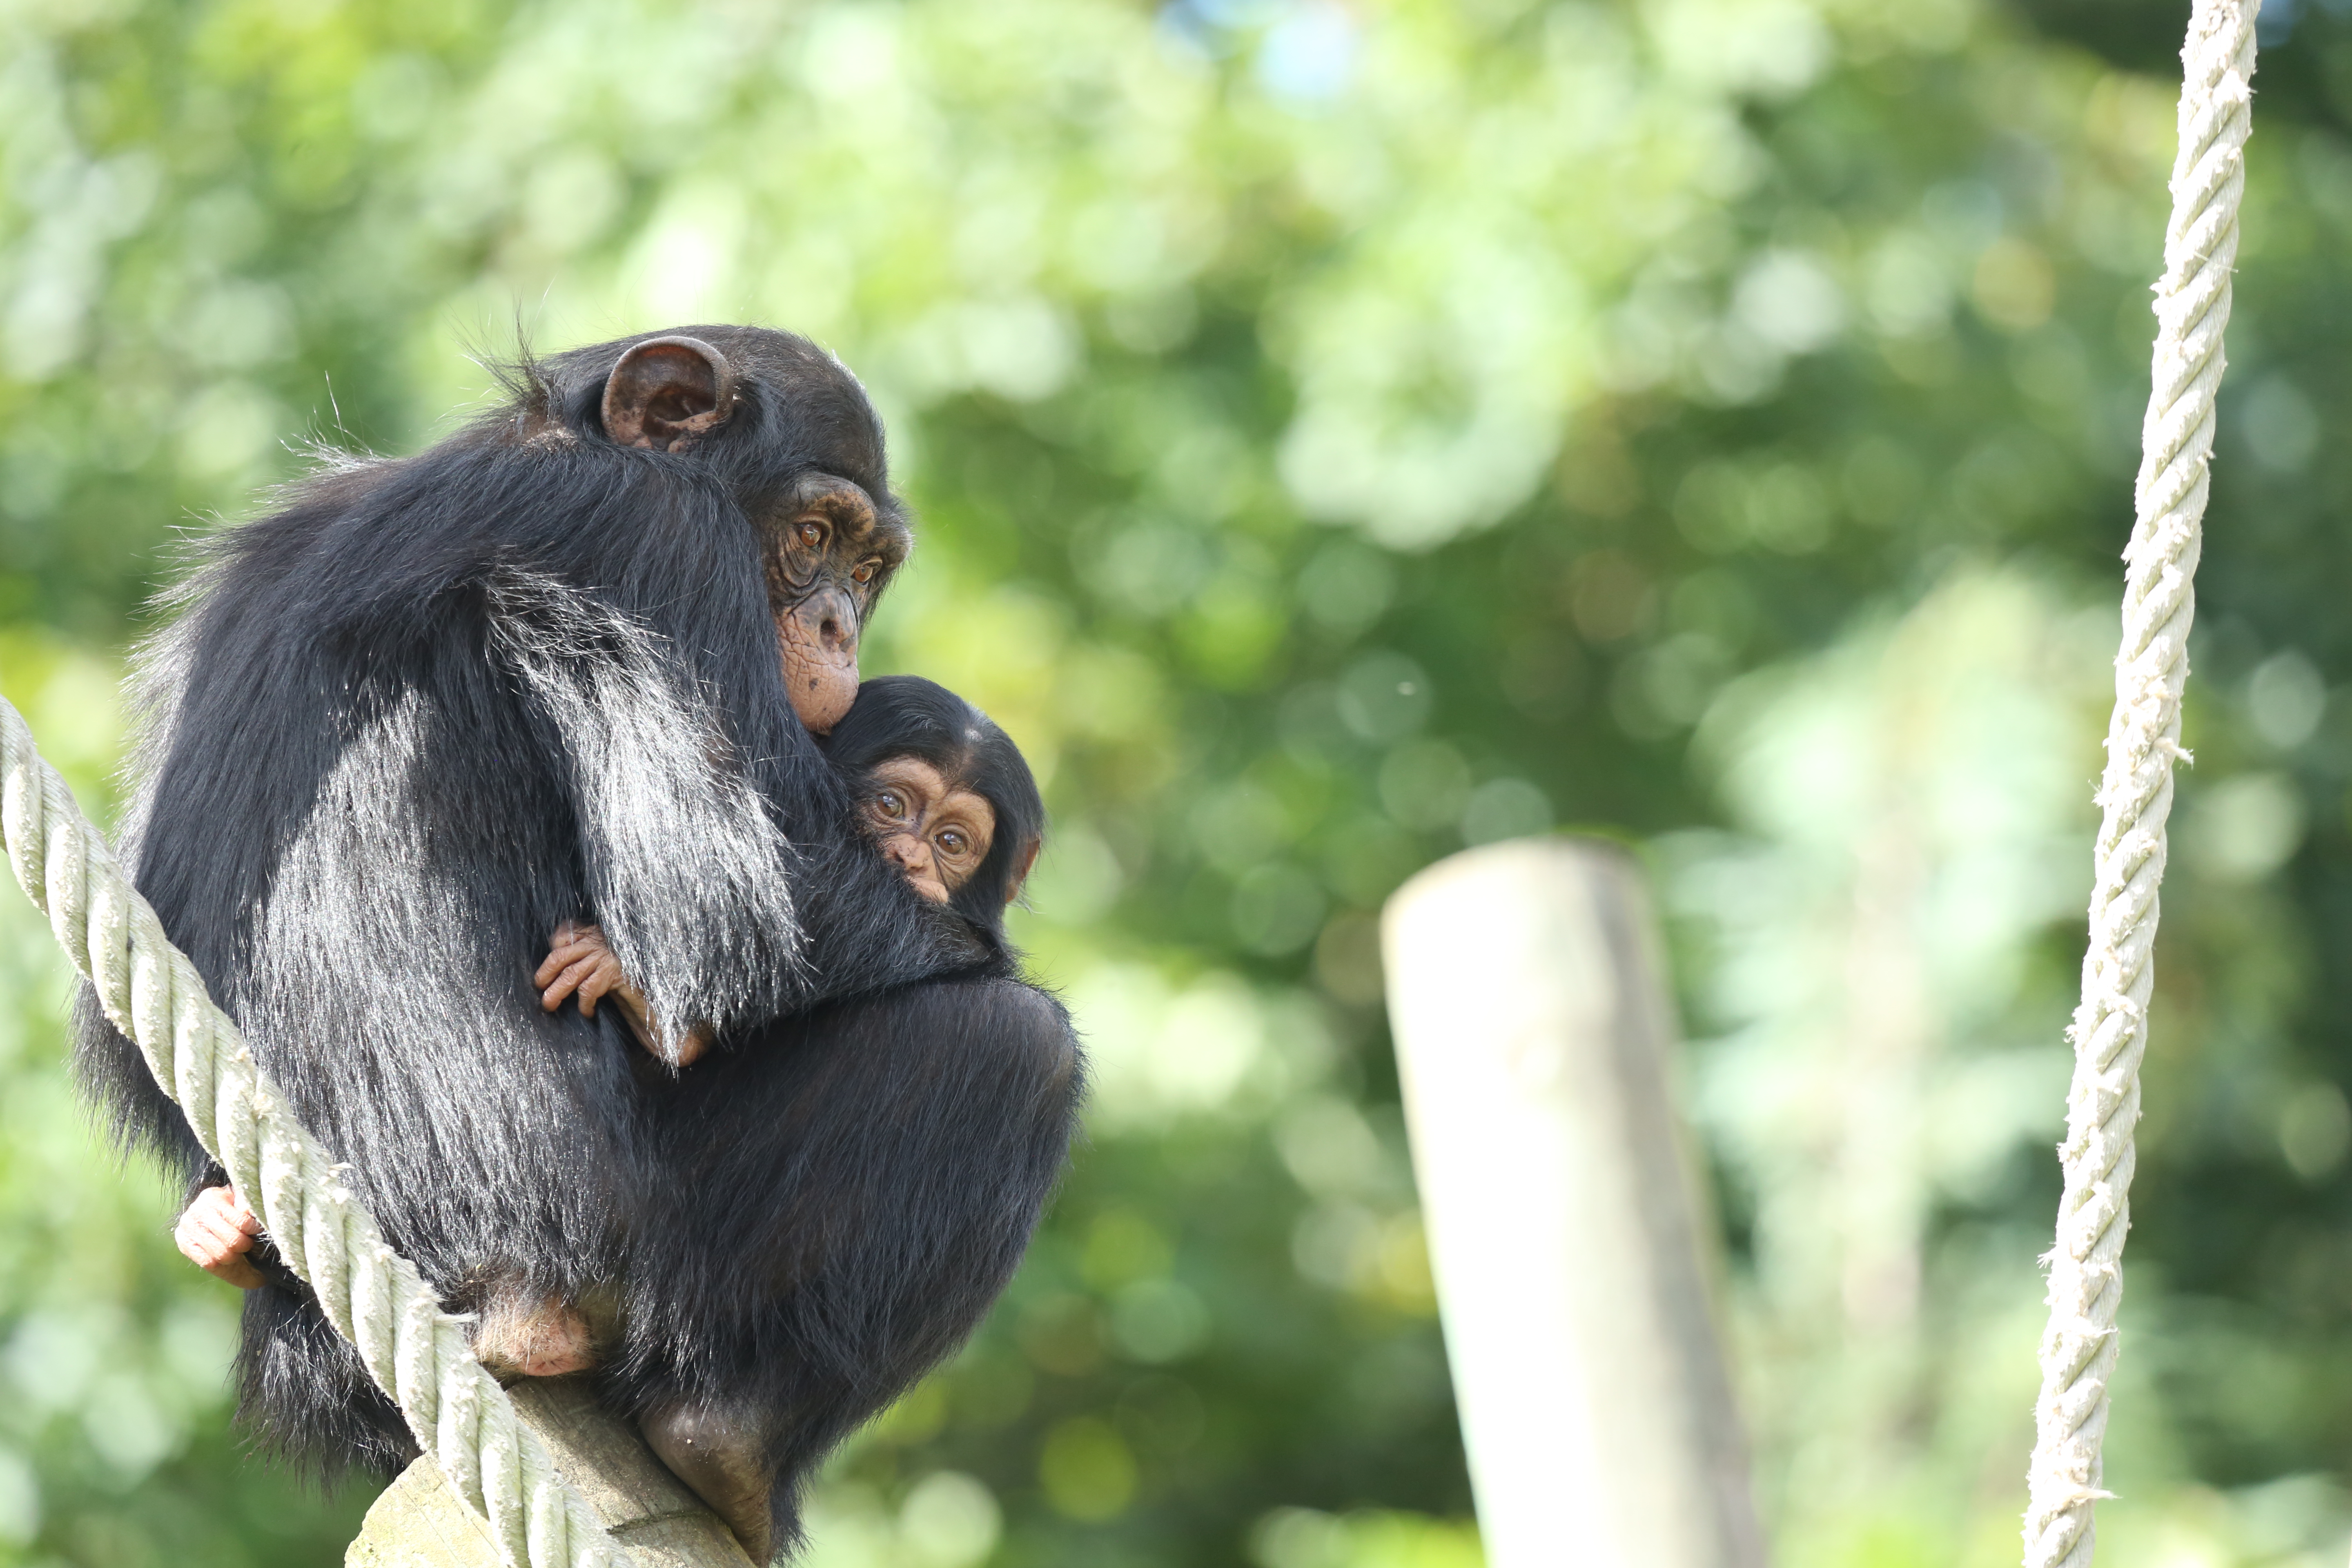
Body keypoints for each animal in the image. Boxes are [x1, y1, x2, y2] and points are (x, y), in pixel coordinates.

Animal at [74, 329, 1082, 1561]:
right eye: (812, 538)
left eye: (868, 564)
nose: (838, 625)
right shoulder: (655, 535)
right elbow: (748, 898)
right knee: (1014, 1050)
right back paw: (723, 1445)